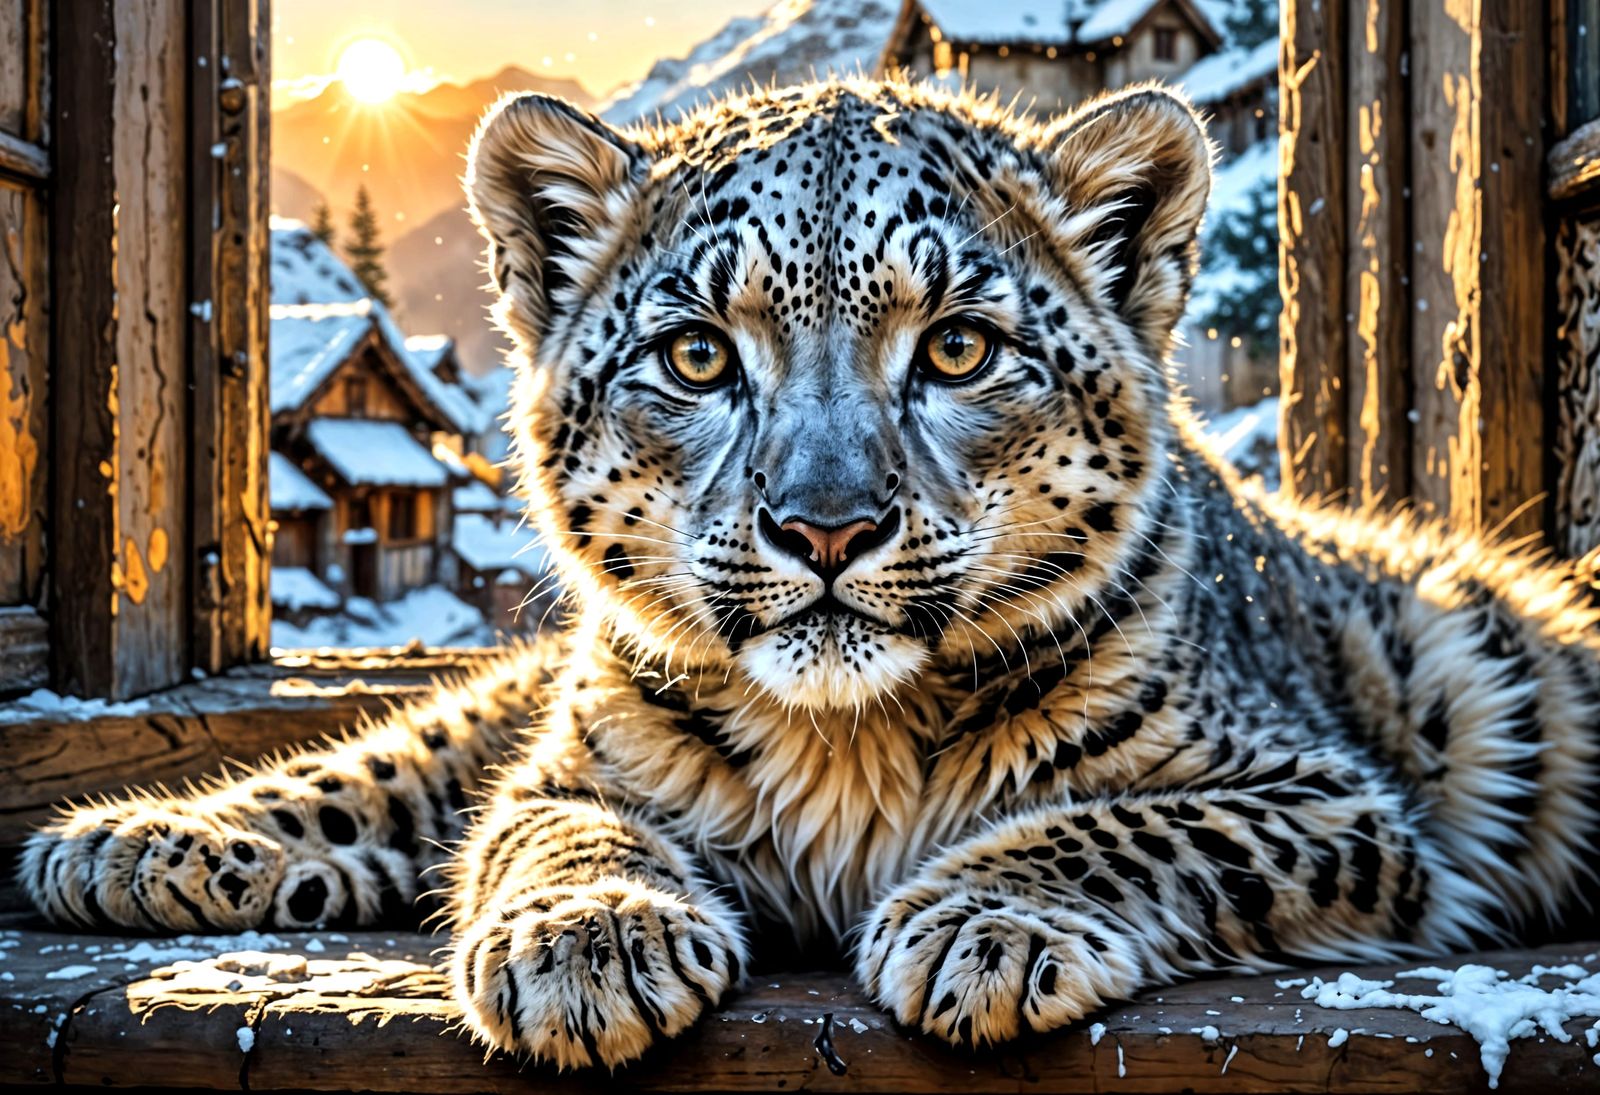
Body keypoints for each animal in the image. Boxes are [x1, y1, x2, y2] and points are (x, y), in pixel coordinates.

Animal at [22, 77, 1600, 1071]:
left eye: (957, 345)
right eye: (695, 354)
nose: (826, 526)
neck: (850, 749)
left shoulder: (1323, 794)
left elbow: (1137, 824)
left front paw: (979, 924)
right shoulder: (581, 760)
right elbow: (543, 826)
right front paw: (590, 942)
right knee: (413, 756)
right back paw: (127, 843)